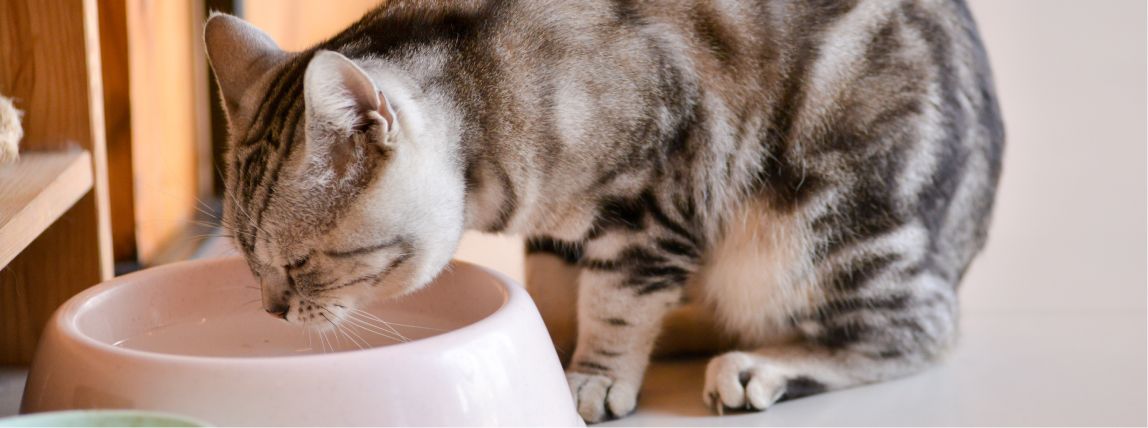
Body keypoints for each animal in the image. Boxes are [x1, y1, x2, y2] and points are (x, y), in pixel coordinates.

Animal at [206, 0, 1005, 419]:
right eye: (245, 260)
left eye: (300, 264)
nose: (273, 309)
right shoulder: (561, 234)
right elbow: (560, 294)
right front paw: (550, 343)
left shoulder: (655, 198)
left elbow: (616, 305)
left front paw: (589, 378)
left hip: (818, 233)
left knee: (920, 330)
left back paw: (758, 366)